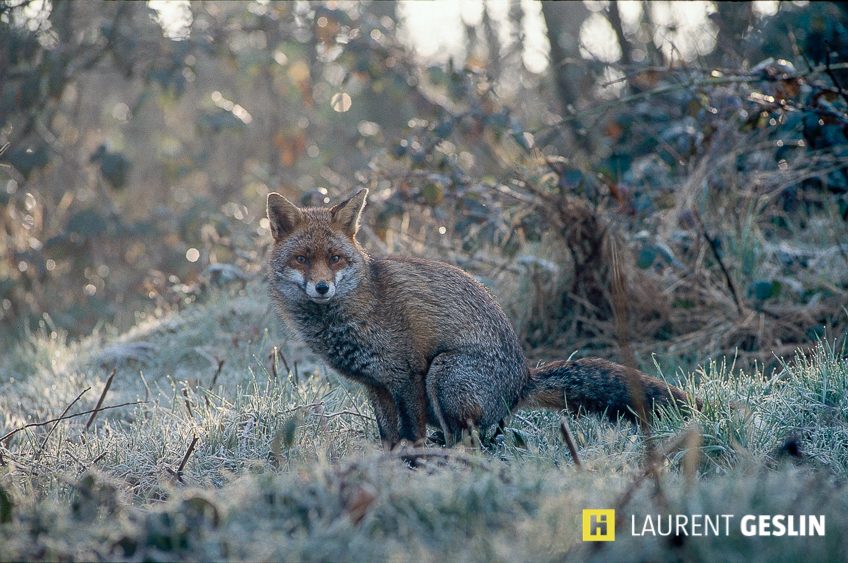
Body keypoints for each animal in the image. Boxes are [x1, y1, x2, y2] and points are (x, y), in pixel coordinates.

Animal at [266, 188, 695, 448]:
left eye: (336, 258)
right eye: (302, 258)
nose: (322, 287)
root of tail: (522, 379)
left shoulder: (408, 375)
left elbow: (411, 432)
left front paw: (413, 462)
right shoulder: (377, 385)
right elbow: (389, 434)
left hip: (444, 373)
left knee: (470, 441)